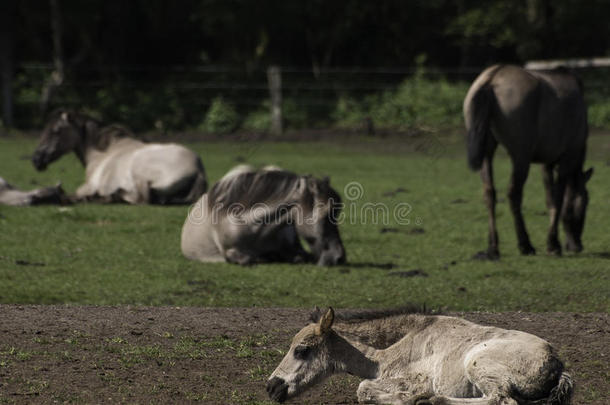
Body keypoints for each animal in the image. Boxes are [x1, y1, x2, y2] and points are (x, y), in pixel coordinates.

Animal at [33, 109, 207, 204]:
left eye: (56, 131)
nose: (36, 159)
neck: (101, 153)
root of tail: (198, 168)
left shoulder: (86, 187)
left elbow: (71, 193)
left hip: (140, 175)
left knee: (142, 199)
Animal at [266, 306, 568, 404]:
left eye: (302, 350)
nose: (271, 387)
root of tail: (557, 364)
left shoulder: (414, 378)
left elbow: (363, 389)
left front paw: (408, 398)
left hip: (477, 364)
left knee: (500, 400)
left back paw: (431, 400)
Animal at [464, 64, 592, 258]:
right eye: (584, 203)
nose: (577, 245)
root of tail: (492, 78)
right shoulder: (566, 159)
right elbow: (559, 199)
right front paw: (553, 243)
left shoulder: (547, 164)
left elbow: (550, 200)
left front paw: (553, 241)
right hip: (520, 156)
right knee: (513, 194)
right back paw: (525, 244)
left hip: (487, 152)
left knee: (489, 193)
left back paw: (493, 246)